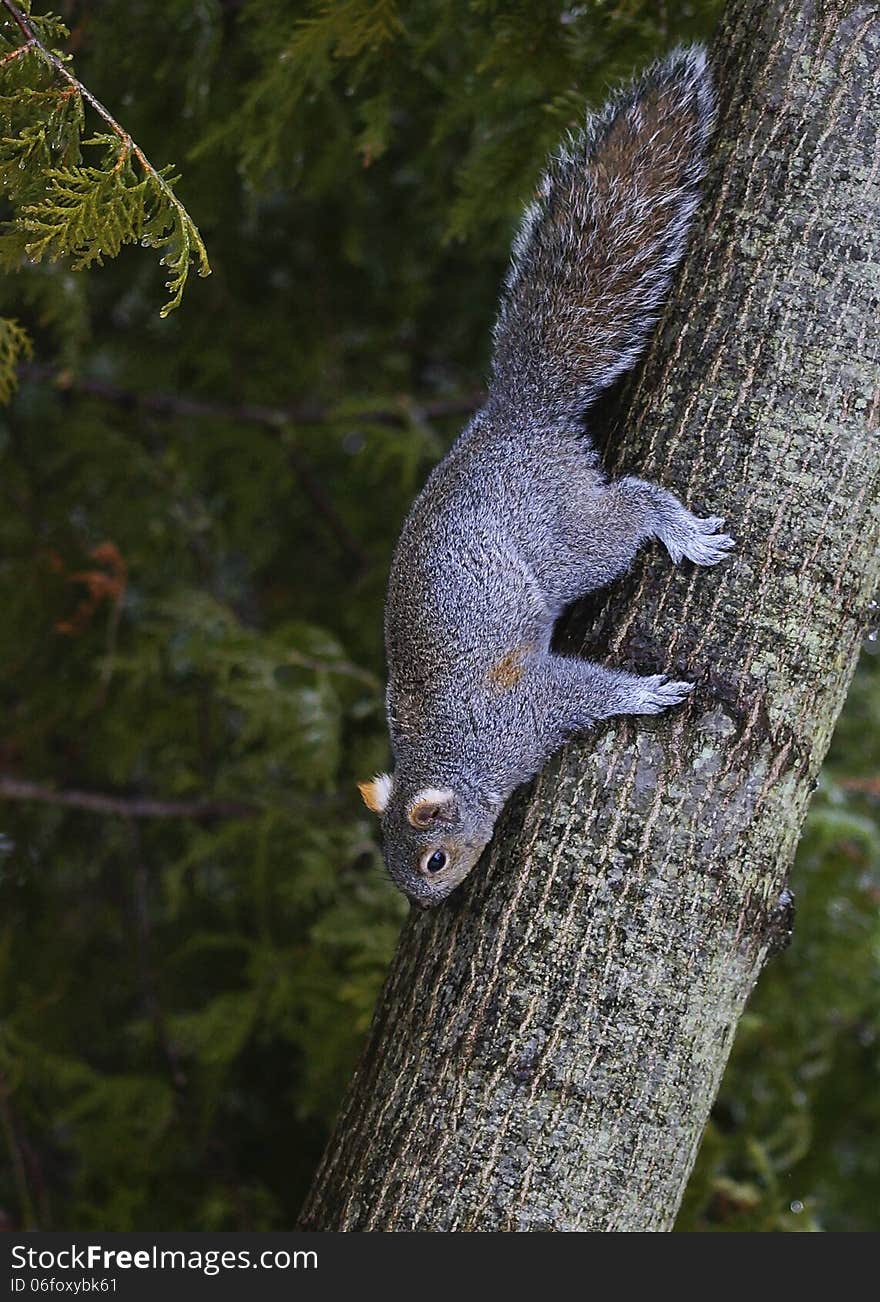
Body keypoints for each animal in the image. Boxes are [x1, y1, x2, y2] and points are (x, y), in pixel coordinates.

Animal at [356, 48, 734, 906]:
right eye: (395, 868)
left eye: (433, 859)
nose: (429, 904)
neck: (457, 758)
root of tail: (518, 413)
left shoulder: (523, 714)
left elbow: (582, 692)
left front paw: (643, 693)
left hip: (565, 537)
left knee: (629, 507)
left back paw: (679, 529)